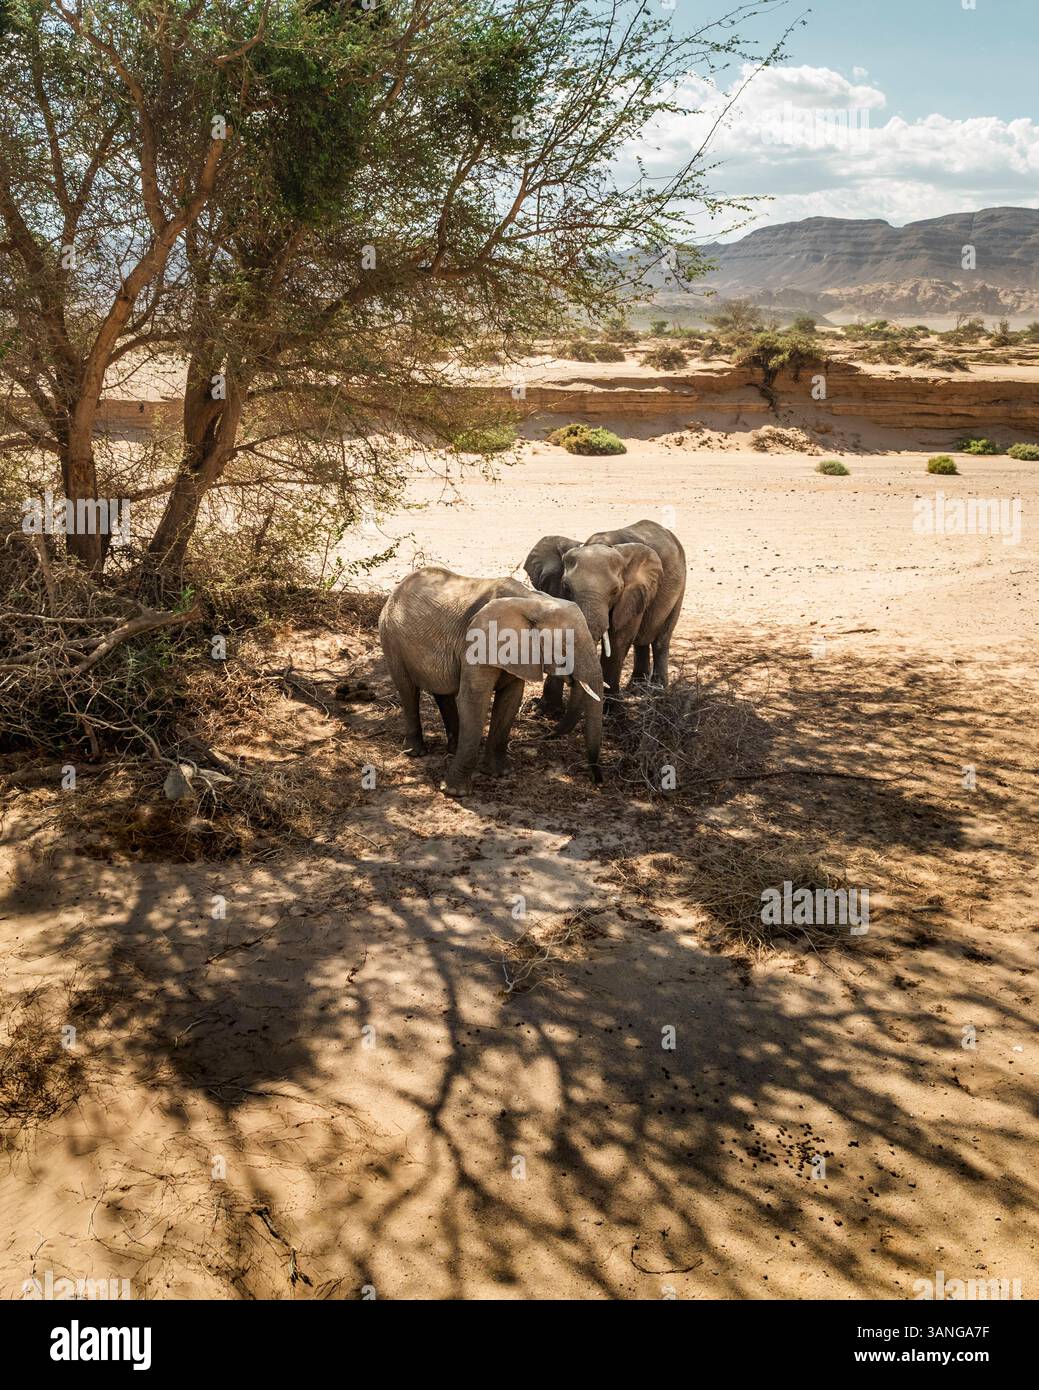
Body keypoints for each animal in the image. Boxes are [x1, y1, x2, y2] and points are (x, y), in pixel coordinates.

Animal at [378, 566, 604, 795]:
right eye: (564, 647)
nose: (598, 782)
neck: (533, 601)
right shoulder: (477, 642)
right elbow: (474, 700)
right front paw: (455, 792)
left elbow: (510, 700)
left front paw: (498, 774)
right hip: (390, 635)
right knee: (407, 690)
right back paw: (415, 752)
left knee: (443, 690)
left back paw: (452, 749)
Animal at [523, 518, 686, 713]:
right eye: (566, 587)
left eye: (615, 591)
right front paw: (547, 710)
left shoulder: (631, 594)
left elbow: (619, 638)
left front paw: (611, 709)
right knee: (642, 640)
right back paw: (637, 689)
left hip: (680, 586)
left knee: (661, 638)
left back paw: (657, 691)